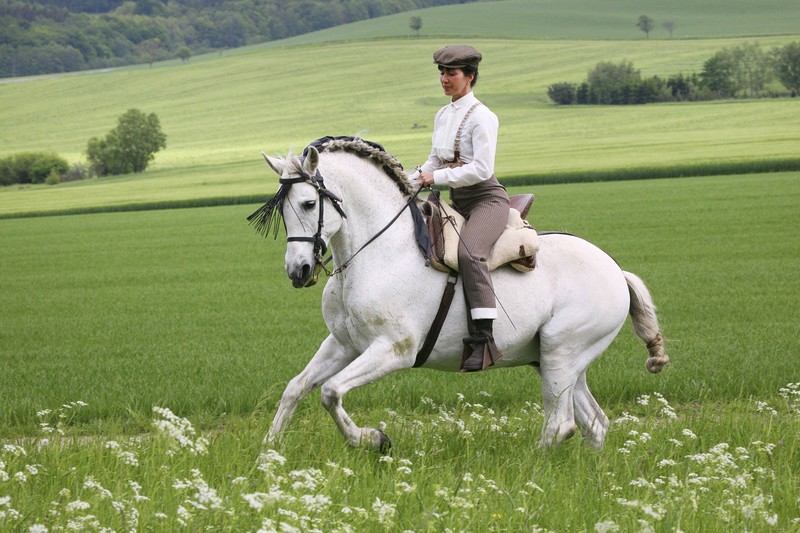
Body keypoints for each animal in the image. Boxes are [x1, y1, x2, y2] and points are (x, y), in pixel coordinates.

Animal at [252, 136, 668, 448]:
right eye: (283, 211)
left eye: (309, 203)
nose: (298, 271)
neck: (377, 252)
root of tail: (616, 270)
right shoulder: (344, 344)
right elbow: (296, 388)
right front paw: (268, 452)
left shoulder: (393, 350)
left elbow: (331, 392)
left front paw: (373, 439)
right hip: (557, 360)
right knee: (594, 422)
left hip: (561, 354)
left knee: (561, 425)